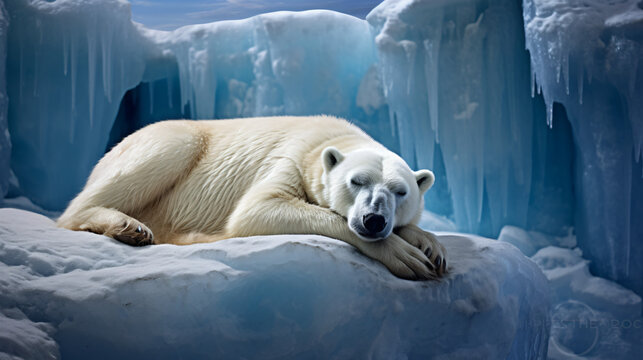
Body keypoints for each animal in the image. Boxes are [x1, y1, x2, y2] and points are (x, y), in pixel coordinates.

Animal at [59, 116, 448, 280]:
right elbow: (258, 210)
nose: (374, 220)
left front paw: (431, 246)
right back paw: (129, 225)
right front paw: (409, 257)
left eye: (400, 191)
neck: (331, 138)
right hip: (164, 142)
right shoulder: (291, 159)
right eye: (356, 181)